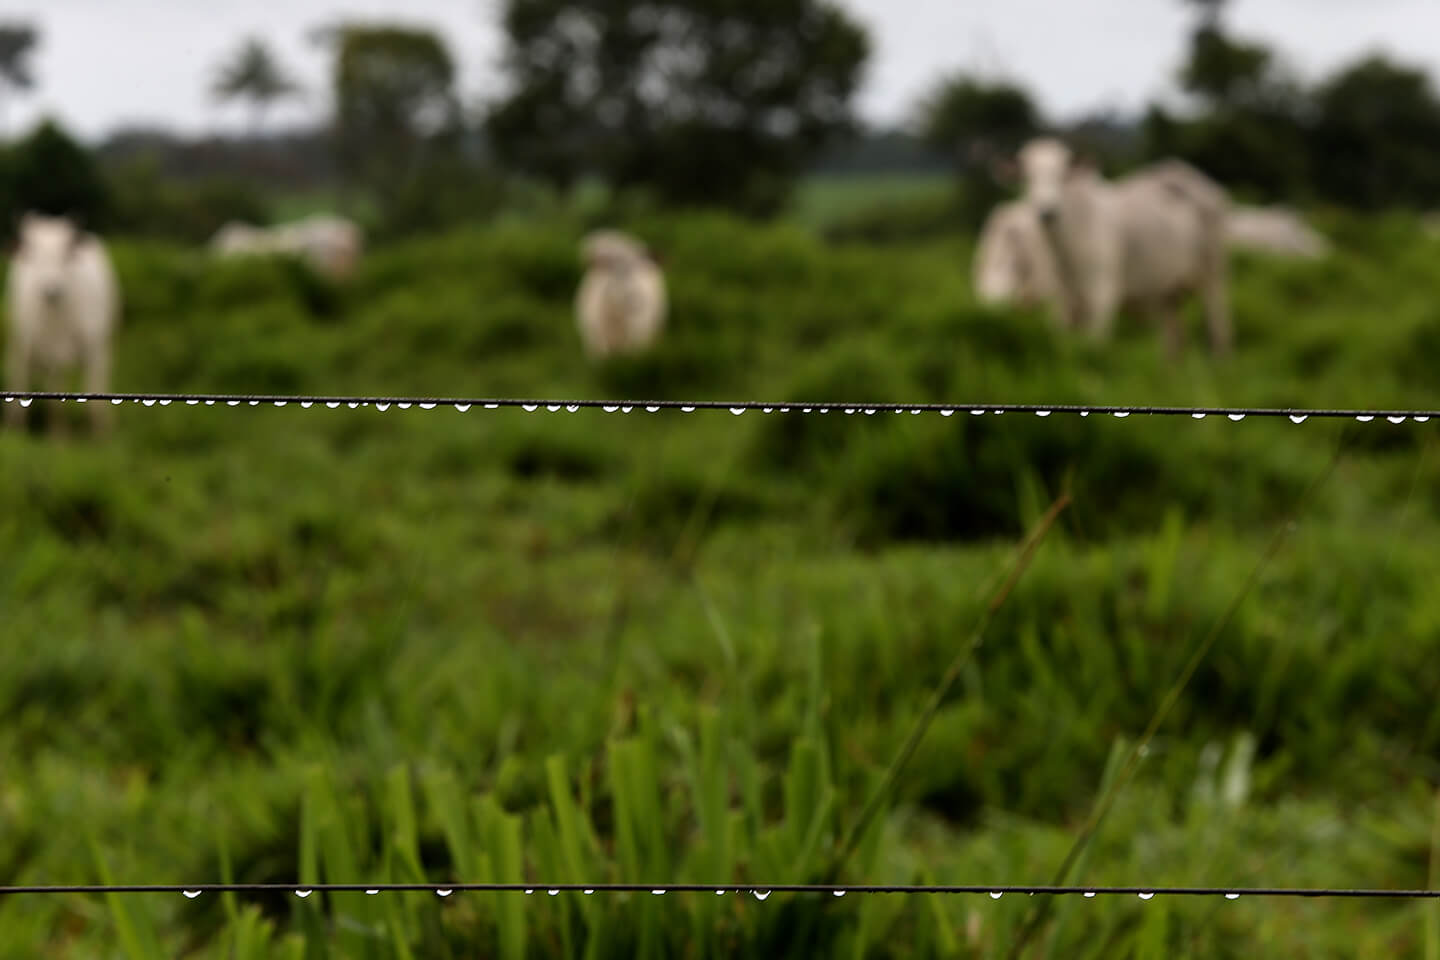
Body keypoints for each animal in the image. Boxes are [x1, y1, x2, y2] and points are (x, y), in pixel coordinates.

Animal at [3, 214, 120, 434]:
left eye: (65, 256)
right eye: (35, 257)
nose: (51, 289)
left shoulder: (95, 348)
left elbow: (96, 390)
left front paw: (101, 433)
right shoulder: (49, 354)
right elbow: (56, 396)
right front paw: (59, 435)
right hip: (21, 341)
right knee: (20, 372)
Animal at [990, 135, 1238, 356]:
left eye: (1062, 176)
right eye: (1027, 177)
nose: (1047, 212)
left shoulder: (1103, 296)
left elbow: (1093, 347)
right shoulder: (1061, 303)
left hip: (1214, 274)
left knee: (1218, 327)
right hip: (1167, 292)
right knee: (1174, 339)